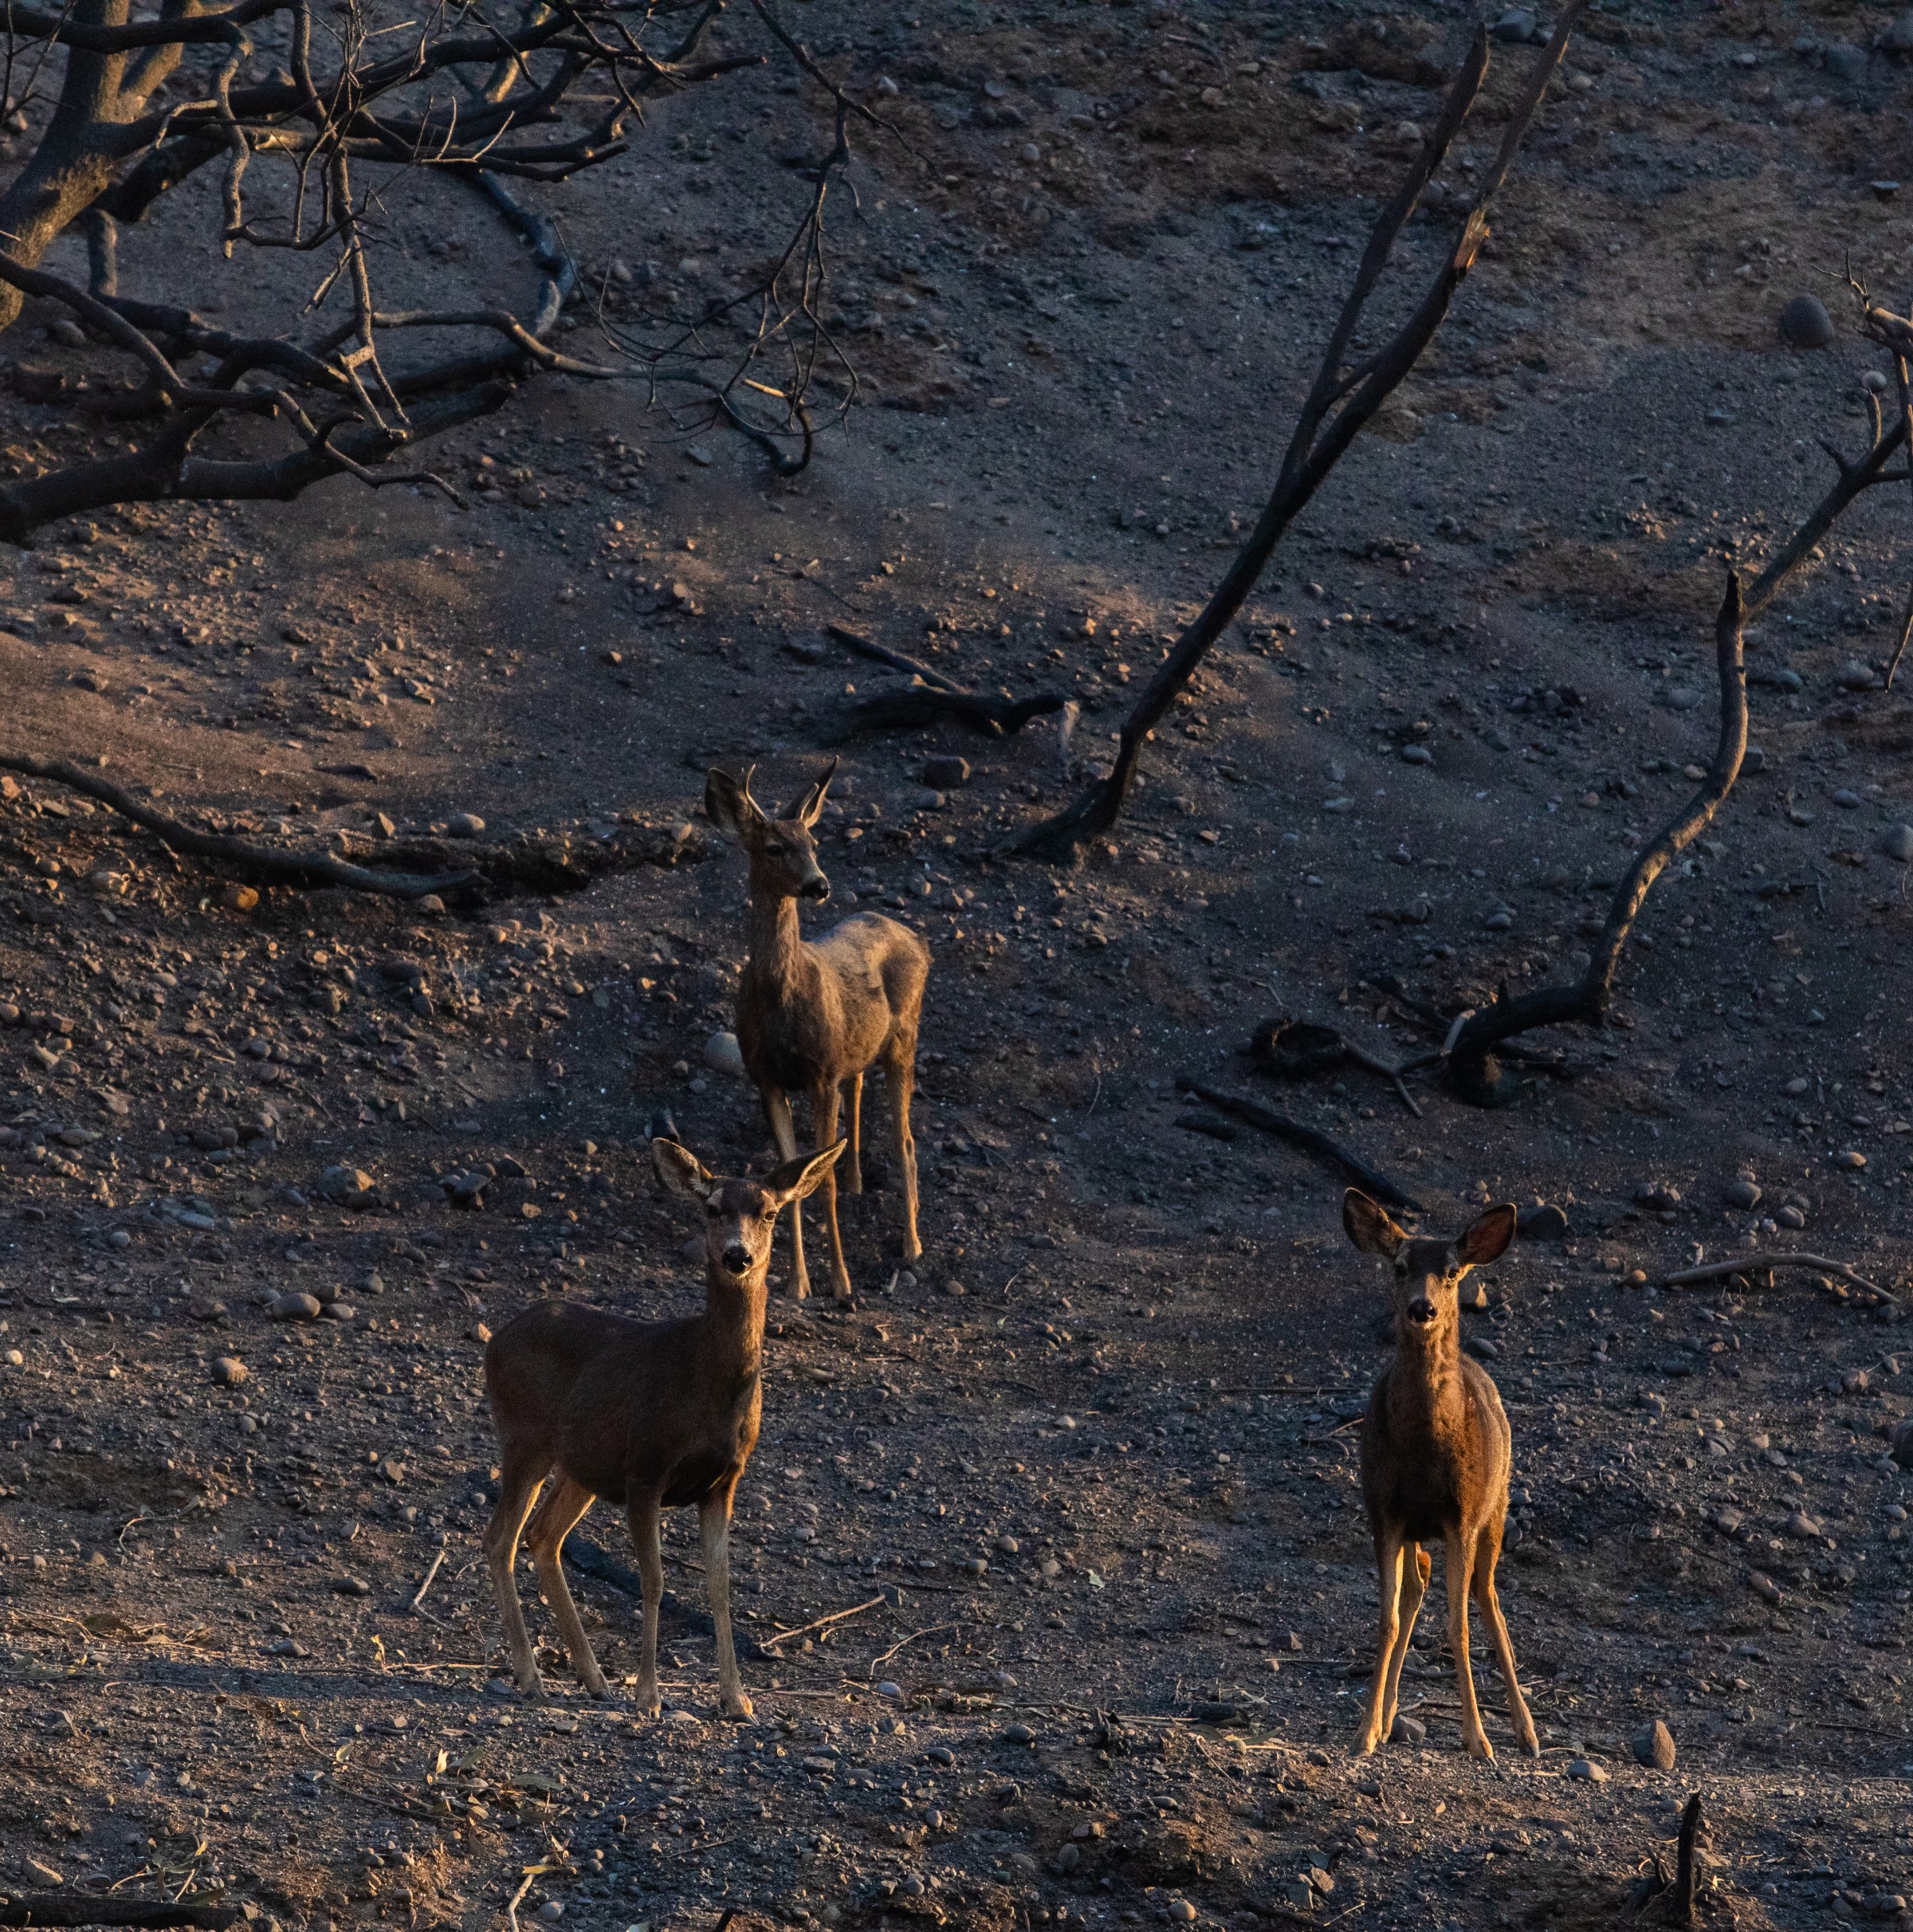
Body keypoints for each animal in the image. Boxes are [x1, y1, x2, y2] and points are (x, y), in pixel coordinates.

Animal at [479, 1136, 839, 1715]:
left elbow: (719, 1586)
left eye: (768, 1212)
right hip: (525, 1437)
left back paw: (594, 1678)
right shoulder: (646, 1467)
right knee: (500, 1539)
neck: (708, 1387)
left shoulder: (724, 1481)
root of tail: (494, 1341)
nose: (738, 1255)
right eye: (711, 1209)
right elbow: (654, 1581)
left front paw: (737, 1699)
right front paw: (649, 1695)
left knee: (543, 1535)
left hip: (583, 1463)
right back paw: (532, 1676)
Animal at [711, 753, 935, 1298]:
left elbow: (820, 1181)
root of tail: (918, 939)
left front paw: (839, 1281)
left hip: (905, 1038)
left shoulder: (820, 1073)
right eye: (775, 847)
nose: (820, 884)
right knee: (860, 1091)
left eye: (814, 844)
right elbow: (786, 1180)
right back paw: (859, 1184)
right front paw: (797, 1283)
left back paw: (912, 1246)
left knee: (906, 1140)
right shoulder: (767, 1079)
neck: (780, 999)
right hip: (858, 1049)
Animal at [1345, 1182, 1546, 1761]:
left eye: (1454, 1271)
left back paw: (1526, 1731)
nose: (1422, 1308)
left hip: (1495, 1509)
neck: (1424, 1450)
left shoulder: (1462, 1514)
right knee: (1418, 1585)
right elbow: (1387, 1620)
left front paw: (1478, 1738)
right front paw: (1364, 1731)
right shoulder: (1384, 1510)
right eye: (1399, 1266)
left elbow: (1458, 1627)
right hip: (1420, 1527)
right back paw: (1388, 1717)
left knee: (1489, 1598)